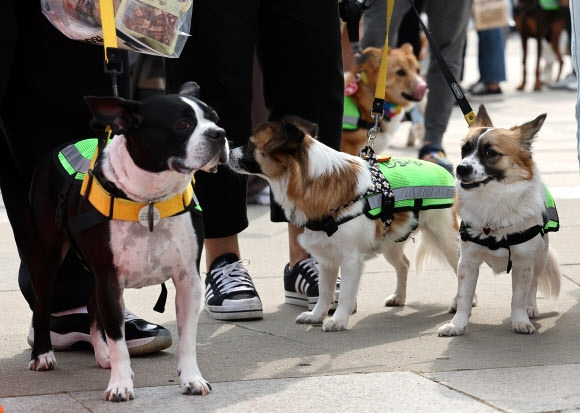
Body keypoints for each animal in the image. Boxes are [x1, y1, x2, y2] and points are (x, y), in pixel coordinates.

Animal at [26, 81, 228, 400]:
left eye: (216, 119)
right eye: (182, 124)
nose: (219, 134)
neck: (149, 200)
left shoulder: (188, 280)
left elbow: (188, 339)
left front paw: (192, 379)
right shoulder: (110, 280)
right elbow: (118, 339)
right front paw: (120, 385)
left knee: (91, 307)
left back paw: (102, 355)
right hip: (46, 257)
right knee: (42, 304)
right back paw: (43, 355)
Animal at [229, 116, 460, 332]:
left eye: (250, 144)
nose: (228, 149)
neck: (313, 182)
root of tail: (446, 172)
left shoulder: (350, 261)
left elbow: (347, 293)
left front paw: (338, 319)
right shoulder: (327, 260)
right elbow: (325, 292)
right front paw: (317, 315)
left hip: (446, 240)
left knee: (460, 270)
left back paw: (460, 303)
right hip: (390, 240)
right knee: (403, 264)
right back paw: (399, 296)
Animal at [440, 105, 560, 334]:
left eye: (490, 152)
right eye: (464, 150)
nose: (460, 168)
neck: (493, 202)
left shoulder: (524, 263)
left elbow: (519, 297)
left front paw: (520, 320)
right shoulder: (467, 262)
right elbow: (464, 294)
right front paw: (457, 324)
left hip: (540, 258)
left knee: (533, 285)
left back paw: (531, 307)